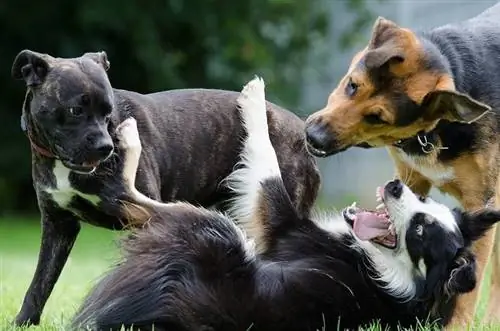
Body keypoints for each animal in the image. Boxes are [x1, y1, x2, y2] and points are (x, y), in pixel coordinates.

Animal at [11, 49, 320, 326]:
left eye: (108, 114)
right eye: (75, 110)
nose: (105, 147)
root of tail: (302, 133)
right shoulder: (57, 224)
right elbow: (41, 281)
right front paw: (23, 321)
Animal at [70, 78, 500, 331]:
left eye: (420, 231)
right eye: (423, 201)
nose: (395, 186)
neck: (390, 275)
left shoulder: (281, 226)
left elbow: (266, 167)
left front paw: (254, 97)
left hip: (216, 228)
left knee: (130, 197)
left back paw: (128, 139)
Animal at [302, 3, 500, 330]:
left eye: (377, 118)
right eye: (352, 86)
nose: (312, 137)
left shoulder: (480, 200)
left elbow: (467, 289)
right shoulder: (412, 179)